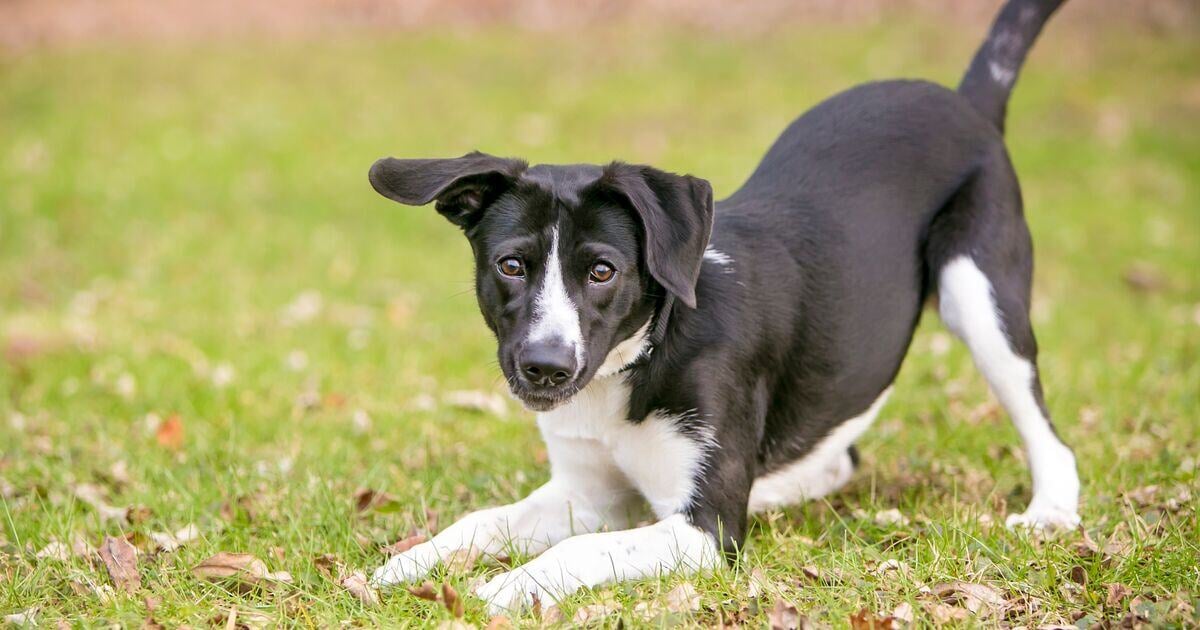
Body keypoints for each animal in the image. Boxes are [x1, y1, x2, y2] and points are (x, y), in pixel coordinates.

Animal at [362, 0, 1080, 612]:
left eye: (602, 271)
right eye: (511, 265)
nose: (544, 367)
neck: (640, 360)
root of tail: (963, 101)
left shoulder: (703, 528)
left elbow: (582, 549)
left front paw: (509, 587)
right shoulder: (585, 493)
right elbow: (482, 520)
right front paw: (404, 565)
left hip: (978, 294)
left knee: (1045, 430)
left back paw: (1050, 511)